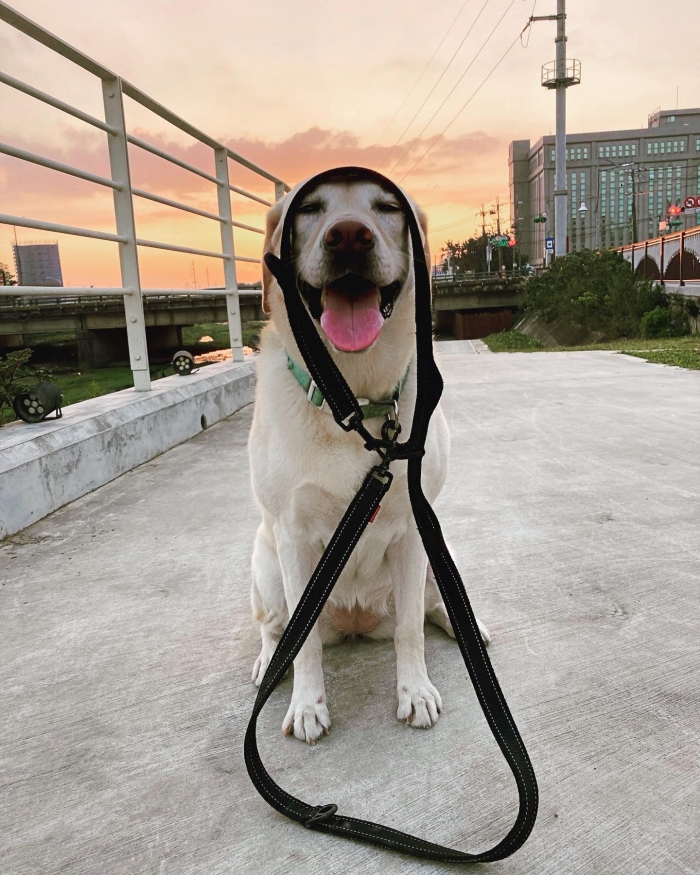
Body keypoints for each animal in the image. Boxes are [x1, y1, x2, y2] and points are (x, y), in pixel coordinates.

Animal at [248, 169, 490, 745]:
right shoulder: (292, 536)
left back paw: (468, 627)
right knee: (274, 628)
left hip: (435, 553)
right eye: (309, 208)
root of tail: (357, 622)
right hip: (265, 566)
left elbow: (409, 629)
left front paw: (414, 691)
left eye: (386, 207)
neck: (353, 402)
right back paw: (269, 665)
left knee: (432, 605)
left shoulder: (414, 527)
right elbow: (303, 639)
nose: (349, 237)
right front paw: (308, 705)